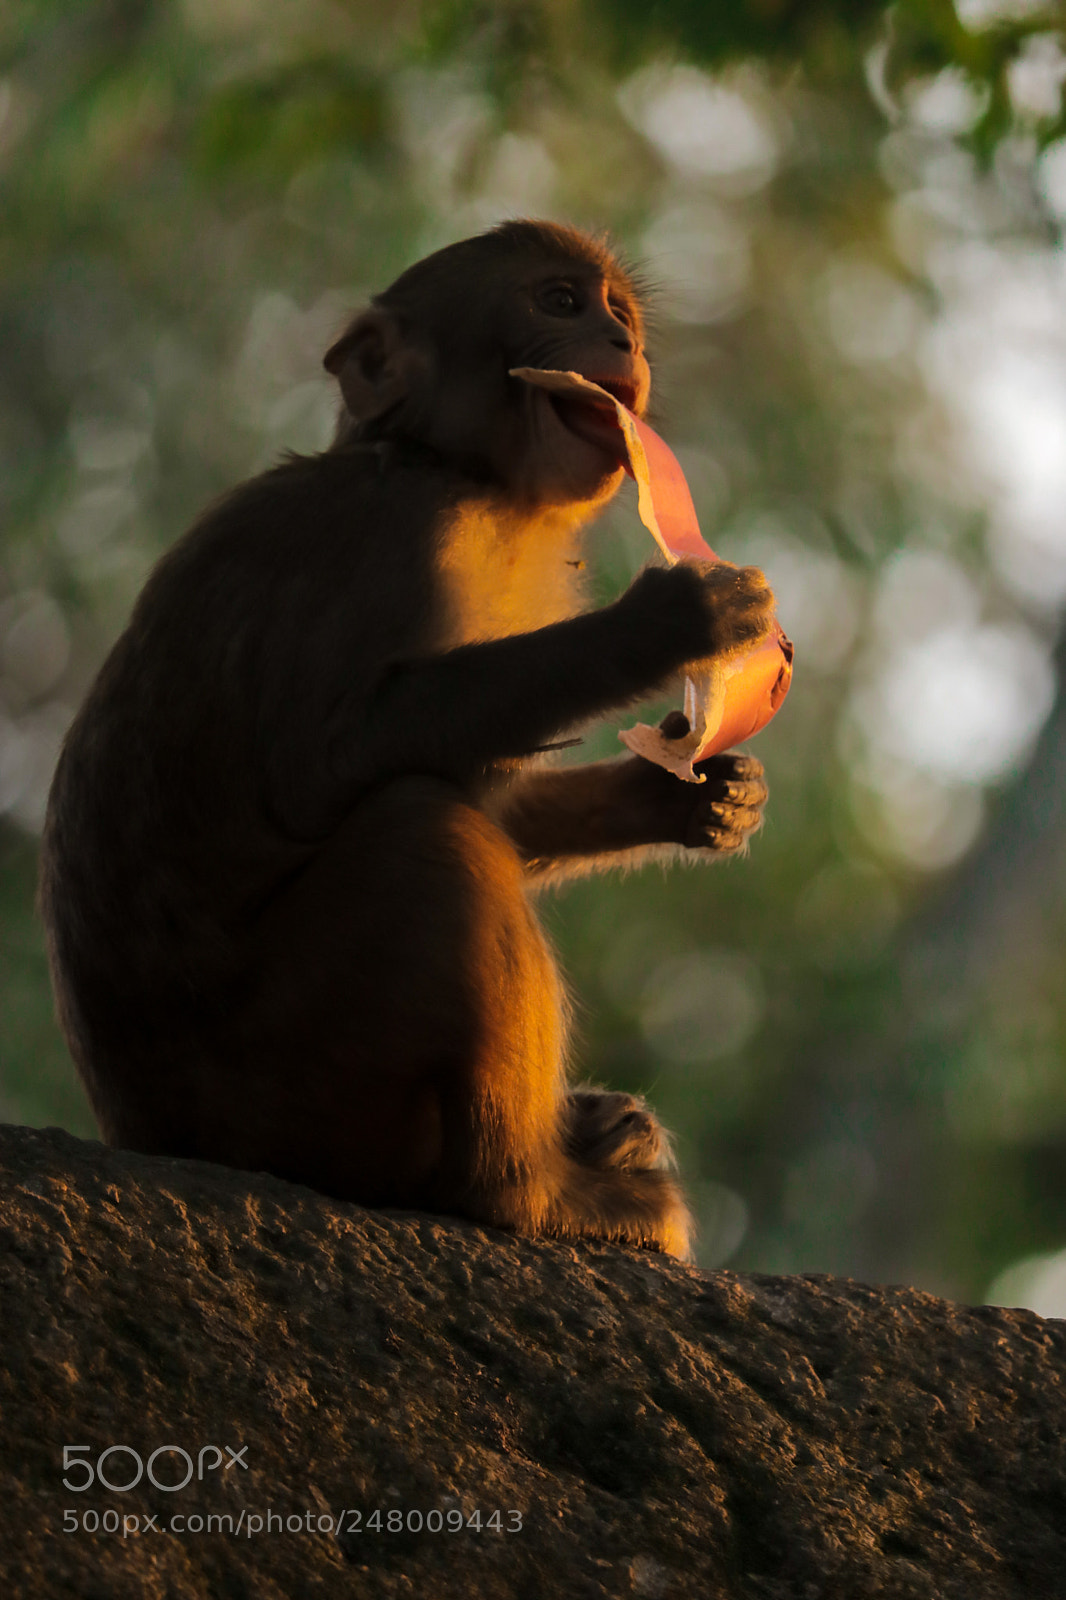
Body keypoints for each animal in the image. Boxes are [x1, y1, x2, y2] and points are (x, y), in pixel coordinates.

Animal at [39, 220, 775, 1261]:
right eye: (559, 302)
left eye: (618, 314)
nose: (621, 345)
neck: (458, 473)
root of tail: (154, 1134)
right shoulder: (393, 535)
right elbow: (334, 759)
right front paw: (671, 623)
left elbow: (498, 796)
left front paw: (696, 796)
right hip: (296, 1082)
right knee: (426, 833)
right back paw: (525, 1189)